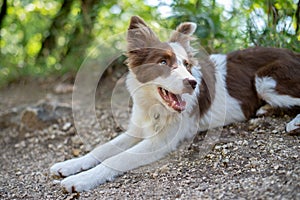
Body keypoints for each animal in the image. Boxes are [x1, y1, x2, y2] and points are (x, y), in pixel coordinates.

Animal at [49, 16, 300, 192]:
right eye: (163, 62)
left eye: (187, 64)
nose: (193, 83)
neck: (155, 106)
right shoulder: (137, 129)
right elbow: (102, 149)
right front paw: (71, 164)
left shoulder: (161, 141)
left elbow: (117, 158)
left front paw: (82, 179)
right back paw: (264, 109)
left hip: (265, 80)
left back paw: (293, 124)